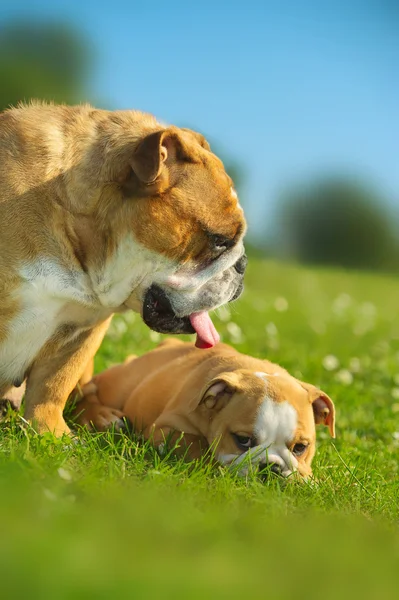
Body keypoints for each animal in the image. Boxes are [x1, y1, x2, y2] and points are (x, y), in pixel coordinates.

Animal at [73, 340, 336, 480]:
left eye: (301, 447)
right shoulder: (167, 428)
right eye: (242, 440)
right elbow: (196, 444)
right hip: (119, 384)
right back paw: (102, 416)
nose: (271, 467)